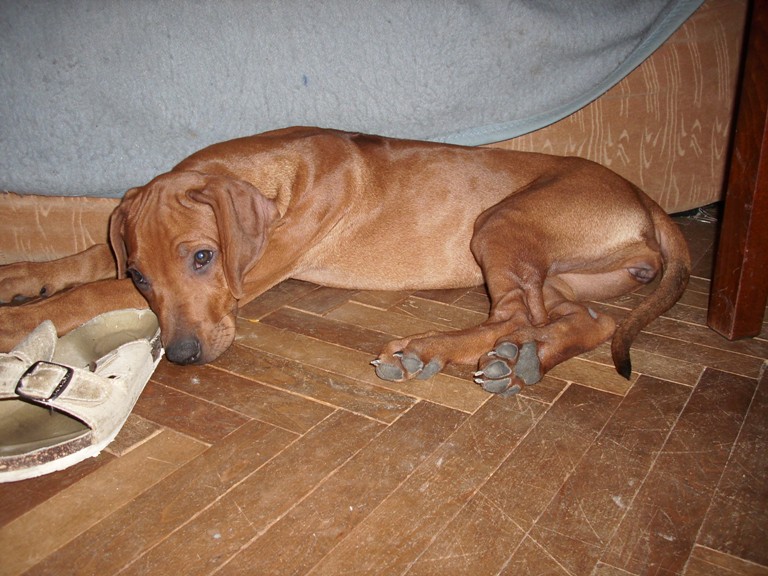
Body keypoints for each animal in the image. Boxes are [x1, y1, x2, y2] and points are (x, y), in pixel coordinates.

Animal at [0, 127, 690, 395]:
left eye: (202, 257)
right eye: (144, 276)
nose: (184, 356)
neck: (274, 174)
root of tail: (646, 198)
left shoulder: (248, 275)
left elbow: (91, 292)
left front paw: (17, 323)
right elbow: (91, 256)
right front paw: (20, 277)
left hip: (501, 222)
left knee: (517, 313)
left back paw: (431, 350)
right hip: (564, 272)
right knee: (588, 319)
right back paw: (522, 364)